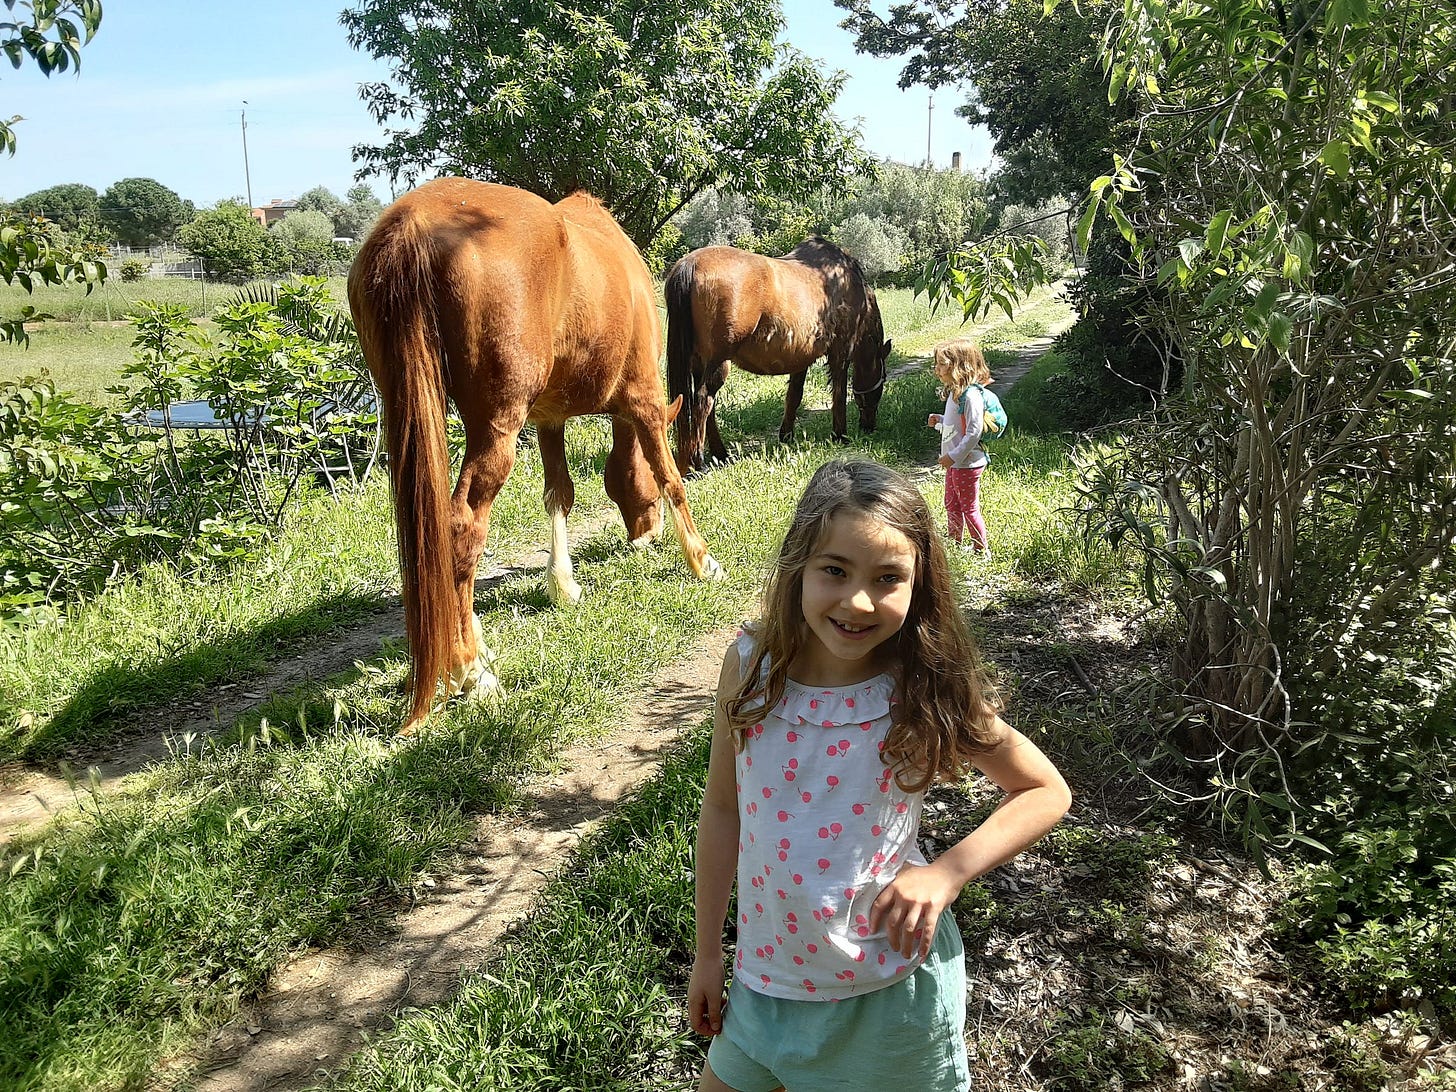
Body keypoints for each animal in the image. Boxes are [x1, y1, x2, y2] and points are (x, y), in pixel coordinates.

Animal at [348, 179, 723, 735]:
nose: (645, 534)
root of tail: (413, 224)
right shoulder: (645, 401)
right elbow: (671, 477)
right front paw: (701, 561)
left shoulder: (548, 417)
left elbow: (559, 495)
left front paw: (563, 585)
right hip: (496, 427)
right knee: (462, 529)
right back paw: (470, 670)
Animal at [664, 238, 892, 474]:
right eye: (883, 378)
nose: (869, 426)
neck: (846, 281)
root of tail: (690, 264)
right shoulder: (841, 352)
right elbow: (839, 395)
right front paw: (840, 435)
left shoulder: (801, 358)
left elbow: (794, 396)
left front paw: (787, 435)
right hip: (717, 362)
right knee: (703, 401)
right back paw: (698, 462)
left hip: (699, 363)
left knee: (706, 404)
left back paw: (720, 454)